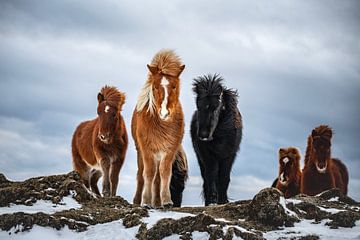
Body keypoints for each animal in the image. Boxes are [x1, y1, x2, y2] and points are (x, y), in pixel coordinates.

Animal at [132, 49, 188, 208]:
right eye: (155, 87)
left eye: (174, 86)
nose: (164, 113)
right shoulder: (146, 149)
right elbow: (148, 173)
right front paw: (145, 201)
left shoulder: (170, 149)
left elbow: (164, 173)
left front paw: (166, 200)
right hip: (140, 151)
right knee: (141, 175)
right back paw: (138, 200)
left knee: (157, 177)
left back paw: (157, 201)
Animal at [190, 74, 243, 205]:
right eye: (198, 105)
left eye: (216, 106)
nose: (203, 135)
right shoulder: (208, 155)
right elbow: (211, 175)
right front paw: (212, 200)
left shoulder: (229, 155)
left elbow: (224, 177)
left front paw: (223, 200)